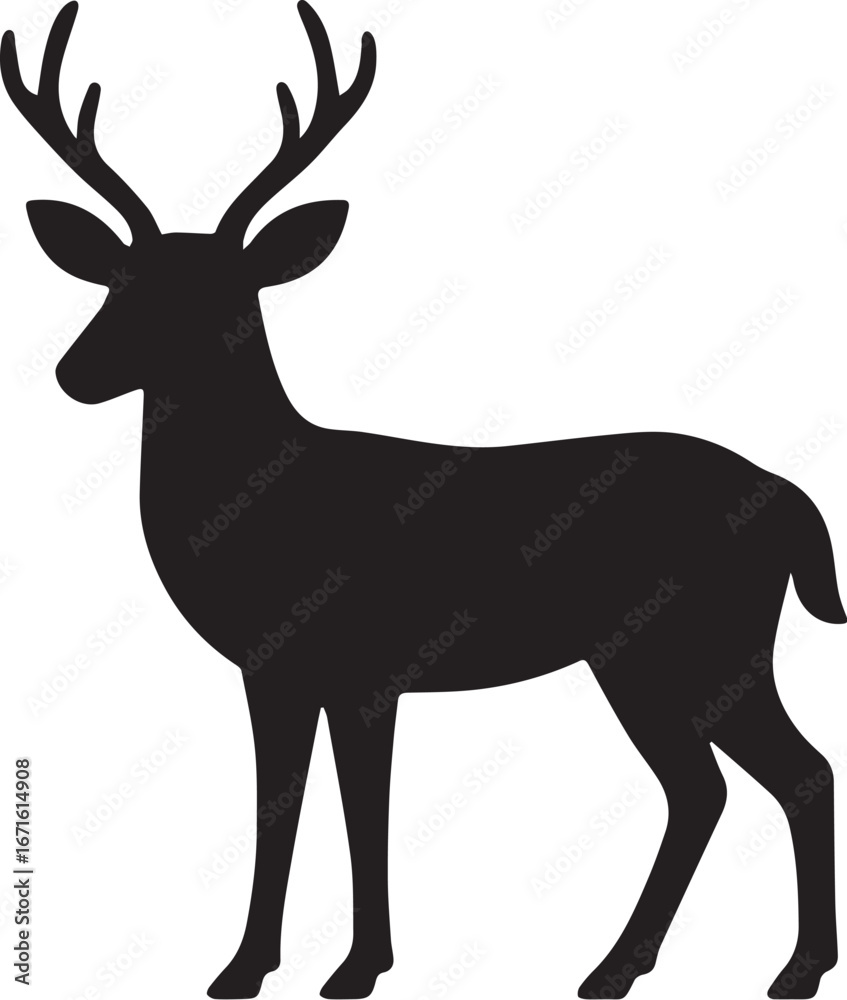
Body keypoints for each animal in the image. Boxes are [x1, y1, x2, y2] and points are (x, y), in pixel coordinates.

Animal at [3, 3, 843, 998]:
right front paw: (243, 968)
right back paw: (623, 968)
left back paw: (780, 970)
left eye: (218, 294)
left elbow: (363, 808)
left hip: (700, 643)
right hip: (654, 658)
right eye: (115, 281)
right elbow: (279, 803)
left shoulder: (368, 665)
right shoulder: (272, 669)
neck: (267, 505)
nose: (72, 371)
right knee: (709, 786)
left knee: (787, 773)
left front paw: (356, 968)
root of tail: (793, 500)